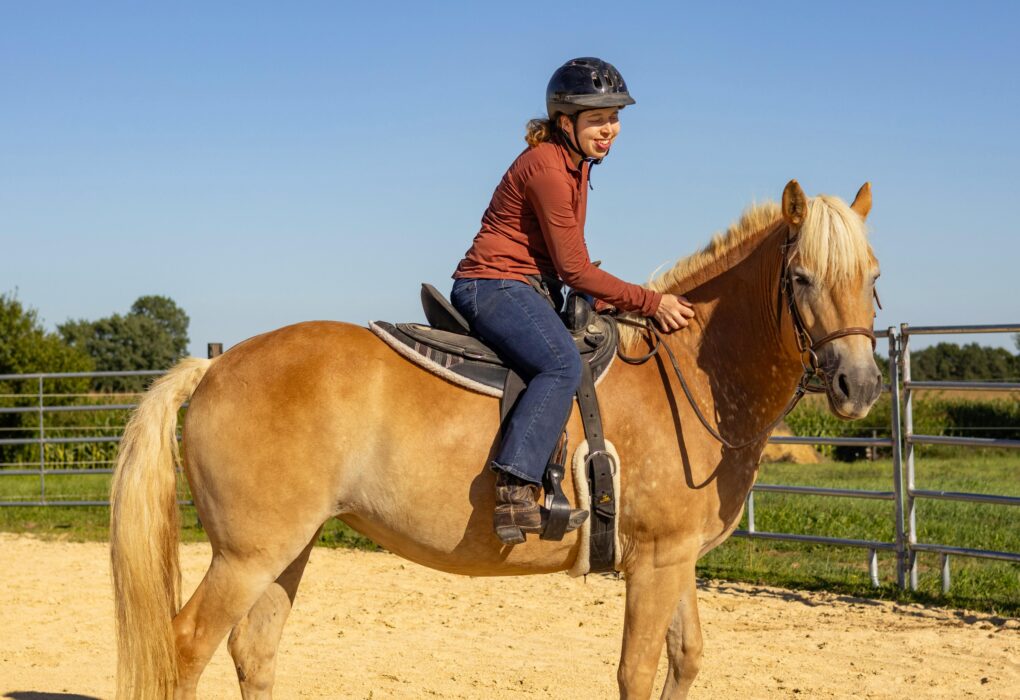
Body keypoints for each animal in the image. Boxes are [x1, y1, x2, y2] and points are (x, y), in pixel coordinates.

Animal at [110, 179, 882, 699]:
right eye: (801, 277)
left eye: (872, 276)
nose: (860, 384)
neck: (688, 369)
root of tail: (214, 365)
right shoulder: (657, 564)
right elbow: (637, 672)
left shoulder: (675, 559)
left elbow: (686, 657)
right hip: (246, 557)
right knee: (185, 648)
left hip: (286, 550)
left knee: (254, 651)